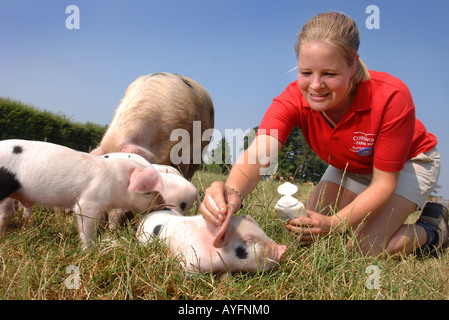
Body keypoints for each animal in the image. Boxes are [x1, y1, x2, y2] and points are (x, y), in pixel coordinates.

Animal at [0, 138, 164, 248]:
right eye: (148, 192)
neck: (117, 181)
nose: (163, 204)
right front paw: (89, 250)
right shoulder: (90, 201)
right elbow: (86, 223)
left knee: (8, 212)